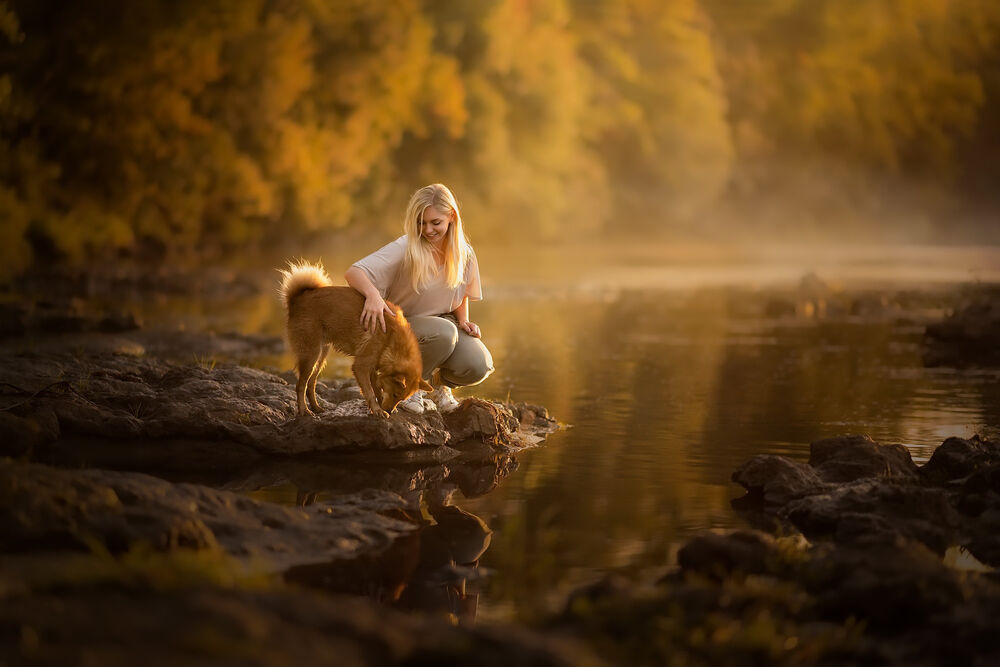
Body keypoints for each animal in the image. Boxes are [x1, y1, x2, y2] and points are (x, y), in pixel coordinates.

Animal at [278, 260, 430, 418]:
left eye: (401, 398)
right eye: (395, 394)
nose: (389, 410)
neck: (391, 337)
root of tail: (297, 299)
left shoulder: (373, 368)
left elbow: (376, 390)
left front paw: (380, 407)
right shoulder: (361, 366)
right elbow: (370, 392)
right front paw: (377, 410)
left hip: (320, 357)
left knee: (311, 384)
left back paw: (316, 407)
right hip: (311, 355)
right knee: (300, 385)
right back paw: (304, 410)